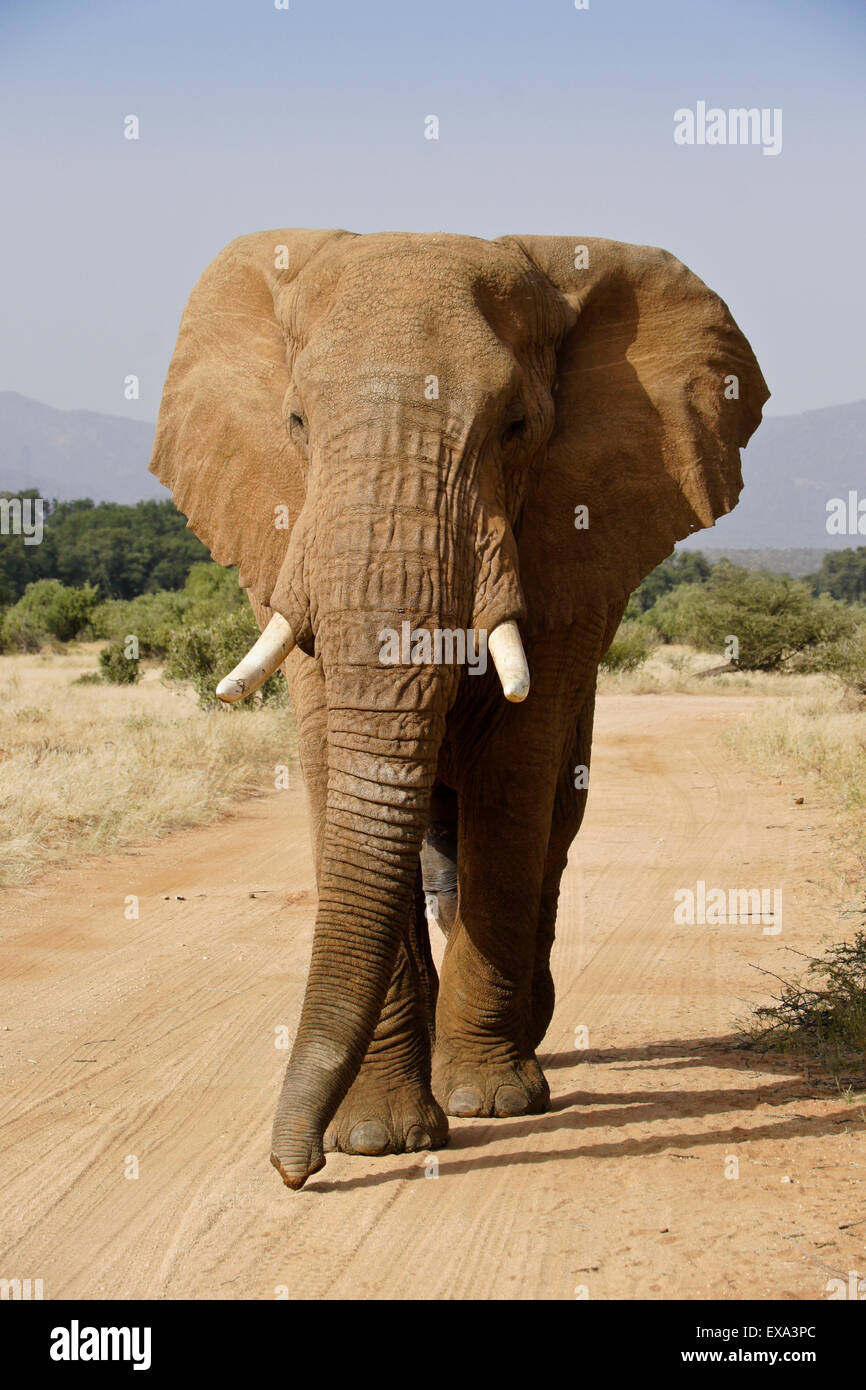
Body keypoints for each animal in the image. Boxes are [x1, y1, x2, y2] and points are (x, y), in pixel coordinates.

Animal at [148, 225, 767, 1184]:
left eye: (516, 428)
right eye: (296, 423)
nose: (294, 1170)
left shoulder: (567, 540)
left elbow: (514, 782)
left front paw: (488, 1102)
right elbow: (332, 762)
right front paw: (374, 1138)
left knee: (549, 827)